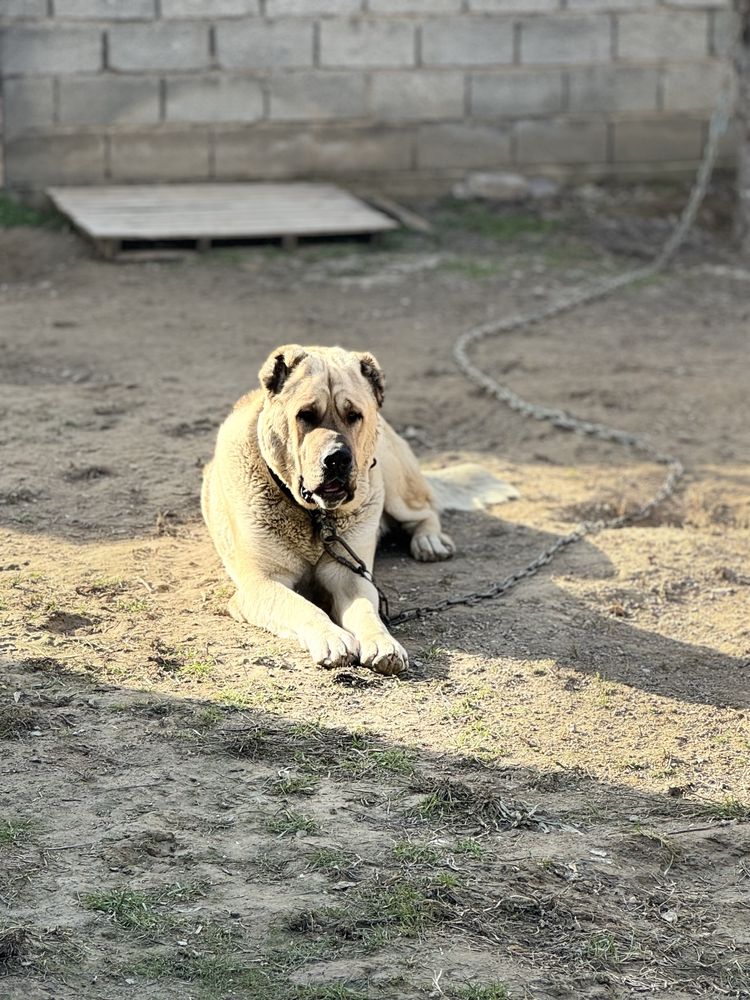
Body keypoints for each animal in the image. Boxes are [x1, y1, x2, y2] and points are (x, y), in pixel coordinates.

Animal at [203, 340, 456, 676]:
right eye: (306, 415)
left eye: (354, 415)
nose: (337, 458)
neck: (315, 516)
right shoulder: (261, 583)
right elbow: (303, 607)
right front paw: (332, 637)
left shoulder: (350, 576)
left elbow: (366, 611)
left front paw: (383, 643)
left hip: (391, 477)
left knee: (425, 510)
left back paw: (429, 541)